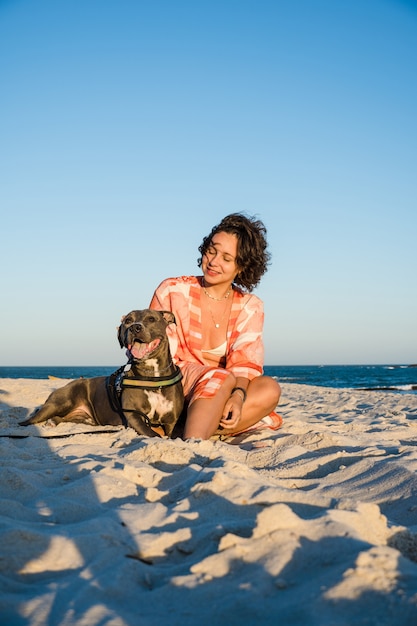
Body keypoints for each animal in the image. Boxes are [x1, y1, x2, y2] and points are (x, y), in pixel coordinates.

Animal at [19, 308, 182, 436]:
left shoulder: (171, 422)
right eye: (128, 320)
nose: (135, 327)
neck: (152, 378)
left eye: (151, 319)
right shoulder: (134, 417)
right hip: (58, 403)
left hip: (83, 418)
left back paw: (53, 421)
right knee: (28, 421)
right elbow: (154, 435)